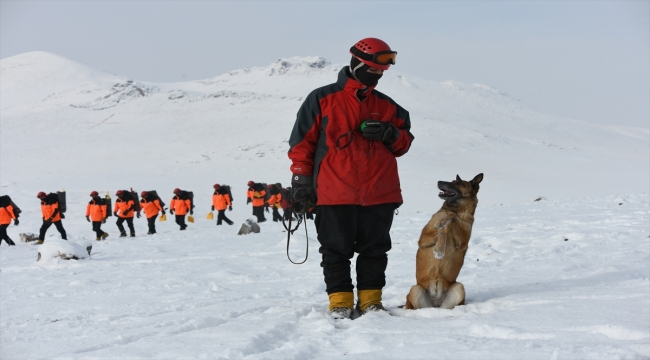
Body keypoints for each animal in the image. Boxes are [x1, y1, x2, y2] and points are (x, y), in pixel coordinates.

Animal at [404, 174, 480, 310]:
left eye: (458, 183)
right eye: (453, 180)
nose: (439, 181)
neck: (457, 209)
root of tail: (435, 303)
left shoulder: (462, 242)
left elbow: (452, 218)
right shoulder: (423, 239)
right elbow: (442, 231)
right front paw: (439, 250)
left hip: (459, 288)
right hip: (415, 289)